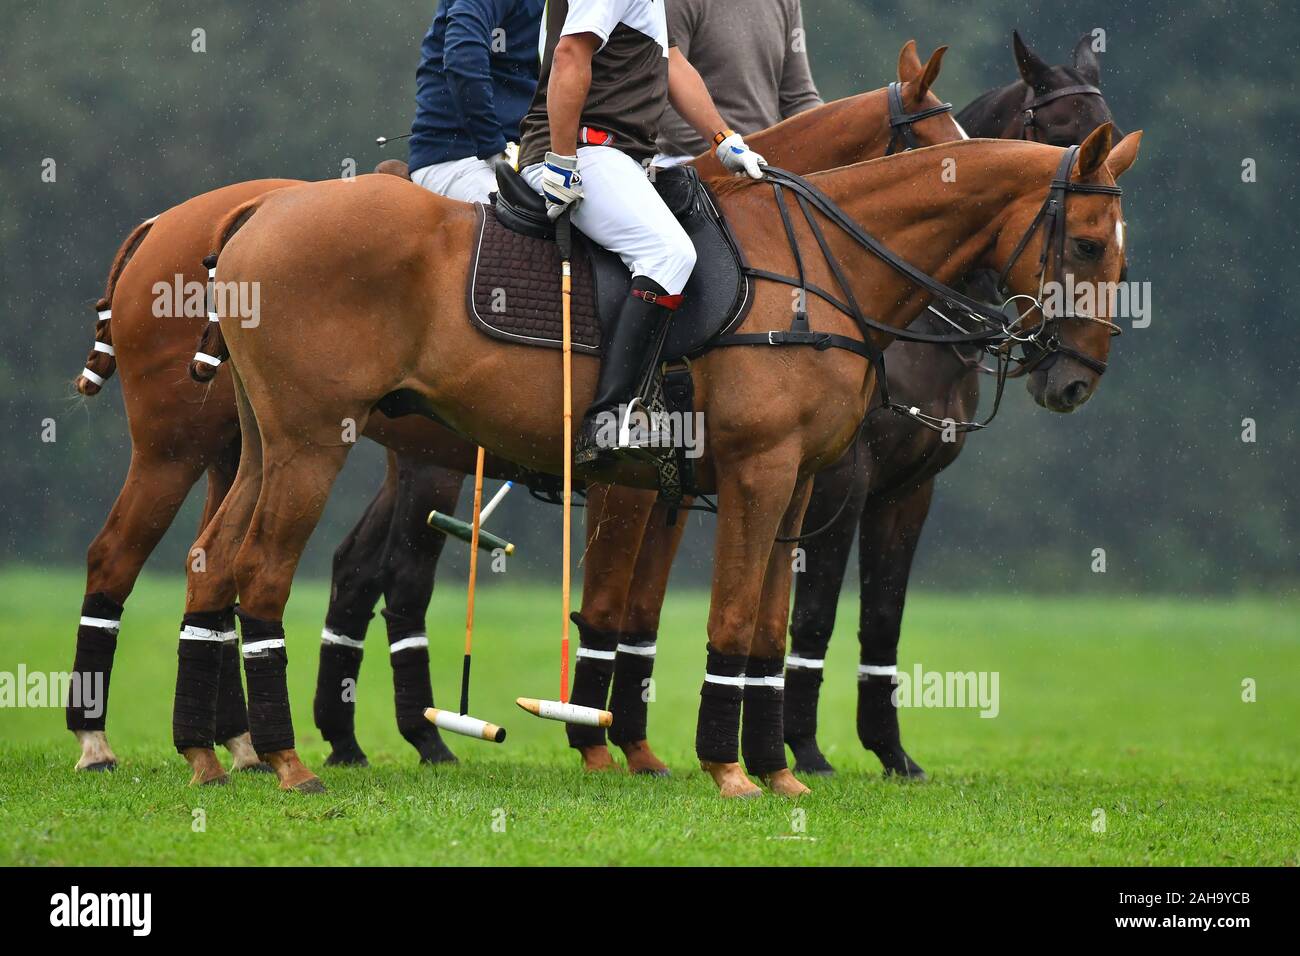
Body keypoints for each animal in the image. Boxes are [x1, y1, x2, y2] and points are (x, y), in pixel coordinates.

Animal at [64, 41, 956, 773]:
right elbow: (615, 606)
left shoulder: (684, 484)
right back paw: (110, 742)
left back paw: (240, 746)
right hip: (196, 444)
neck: (766, 258)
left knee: (227, 568)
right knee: (126, 557)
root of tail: (208, 220)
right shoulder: (654, 481)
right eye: (938, 143)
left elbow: (644, 612)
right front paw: (607, 745)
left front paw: (637, 747)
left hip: (257, 445)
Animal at [184, 122, 1141, 797]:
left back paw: (208, 753)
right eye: (1089, 243)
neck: (821, 272)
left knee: (211, 561)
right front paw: (729, 769)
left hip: (268, 443)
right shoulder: (759, 472)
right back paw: (288, 761)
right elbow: (729, 620)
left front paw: (775, 768)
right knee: (263, 571)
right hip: (317, 441)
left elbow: (764, 627)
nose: (1075, 380)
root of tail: (258, 210)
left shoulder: (798, 485)